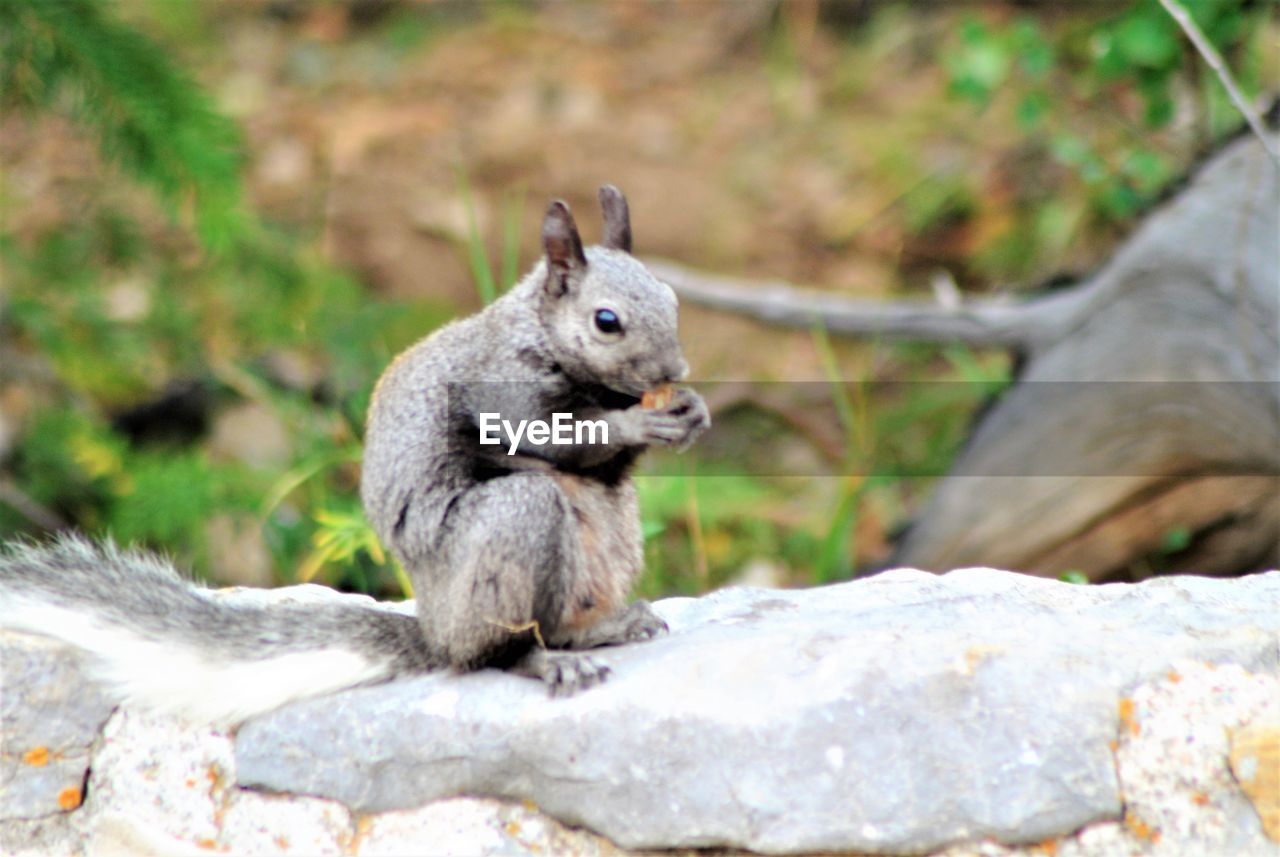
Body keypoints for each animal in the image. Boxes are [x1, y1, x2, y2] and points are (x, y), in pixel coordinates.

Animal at [0, 186, 711, 726]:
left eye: (674, 300)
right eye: (606, 321)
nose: (674, 370)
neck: (541, 337)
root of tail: (434, 629)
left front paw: (691, 410)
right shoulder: (499, 389)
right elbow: (550, 437)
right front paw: (639, 420)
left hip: (613, 534)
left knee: (559, 616)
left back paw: (605, 627)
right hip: (510, 533)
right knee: (492, 654)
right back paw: (544, 661)